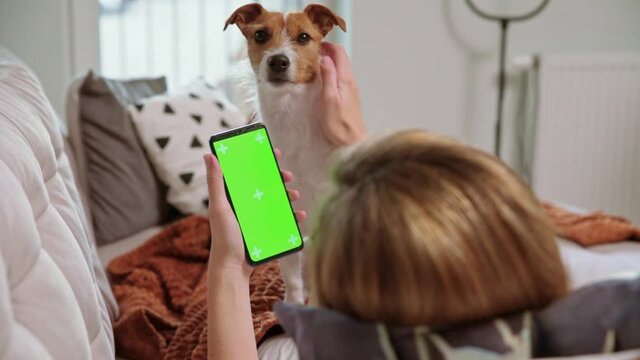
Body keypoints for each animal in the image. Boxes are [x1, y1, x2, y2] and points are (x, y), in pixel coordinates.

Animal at [224, 2, 344, 302]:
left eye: (304, 37)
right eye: (260, 35)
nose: (278, 61)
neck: (291, 116)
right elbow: (291, 278)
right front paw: (293, 302)